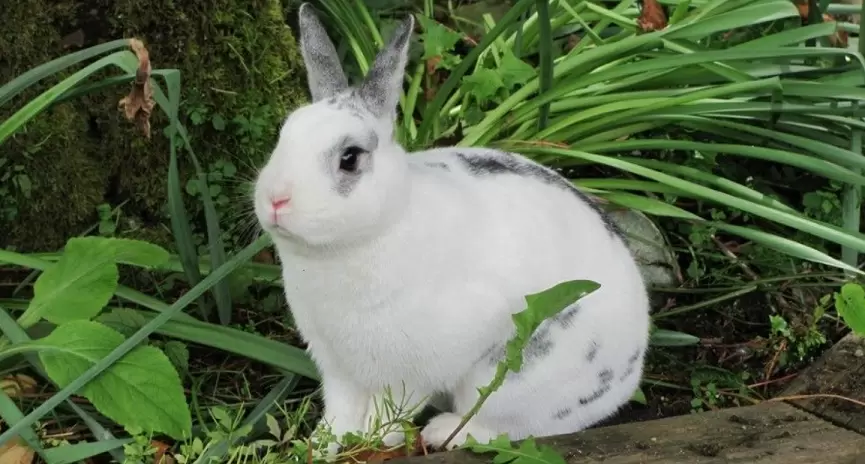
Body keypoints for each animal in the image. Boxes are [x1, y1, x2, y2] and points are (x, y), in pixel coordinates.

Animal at [253, 2, 652, 454]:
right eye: (283, 135)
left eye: (350, 158)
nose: (276, 200)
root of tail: (629, 373)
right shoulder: (335, 365)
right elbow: (340, 410)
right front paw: (320, 445)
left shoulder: (417, 368)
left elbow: (391, 412)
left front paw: (374, 441)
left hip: (510, 377)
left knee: (512, 424)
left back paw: (444, 431)